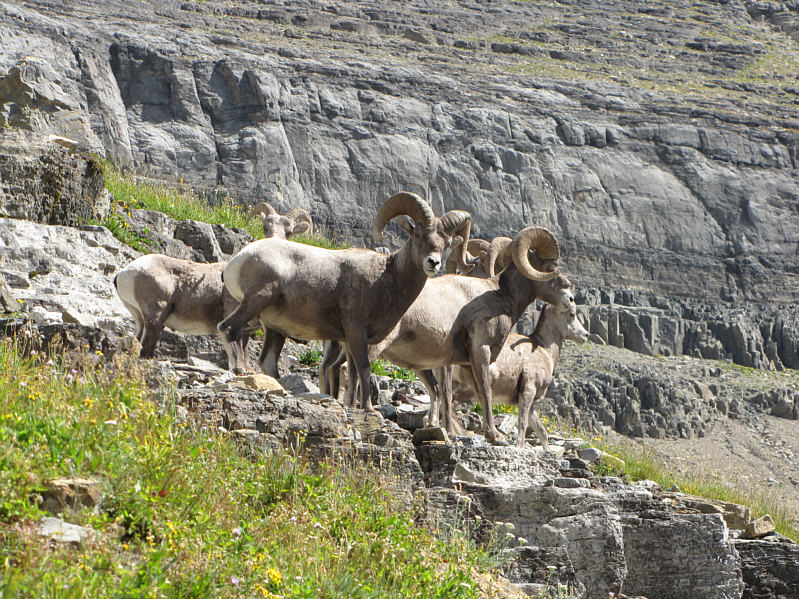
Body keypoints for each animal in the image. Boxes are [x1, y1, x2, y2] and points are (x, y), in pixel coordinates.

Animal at [114, 202, 313, 367]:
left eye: (289, 232)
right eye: (265, 227)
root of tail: (123, 273)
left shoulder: (247, 331)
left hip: (139, 319)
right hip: (155, 318)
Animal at [217, 191, 473, 410]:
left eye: (446, 243)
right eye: (418, 235)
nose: (433, 262)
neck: (385, 278)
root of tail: (237, 260)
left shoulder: (348, 339)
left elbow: (352, 372)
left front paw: (353, 406)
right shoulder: (356, 330)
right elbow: (364, 369)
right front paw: (368, 408)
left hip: (274, 328)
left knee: (268, 361)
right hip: (257, 300)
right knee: (228, 328)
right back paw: (239, 370)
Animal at [450, 304, 589, 449]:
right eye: (571, 314)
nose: (585, 335)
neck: (545, 350)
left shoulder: (530, 404)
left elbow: (542, 432)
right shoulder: (528, 392)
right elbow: (522, 425)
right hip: (469, 389)